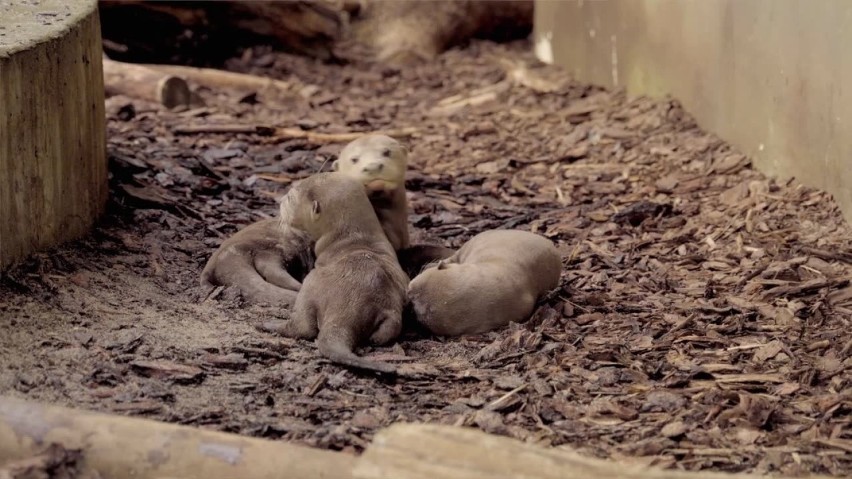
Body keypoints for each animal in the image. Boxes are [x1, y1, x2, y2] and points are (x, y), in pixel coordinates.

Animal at [268, 172, 412, 376]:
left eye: (290, 198)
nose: (280, 201)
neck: (353, 239)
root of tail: (345, 312)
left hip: (310, 285)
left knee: (303, 327)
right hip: (390, 309)